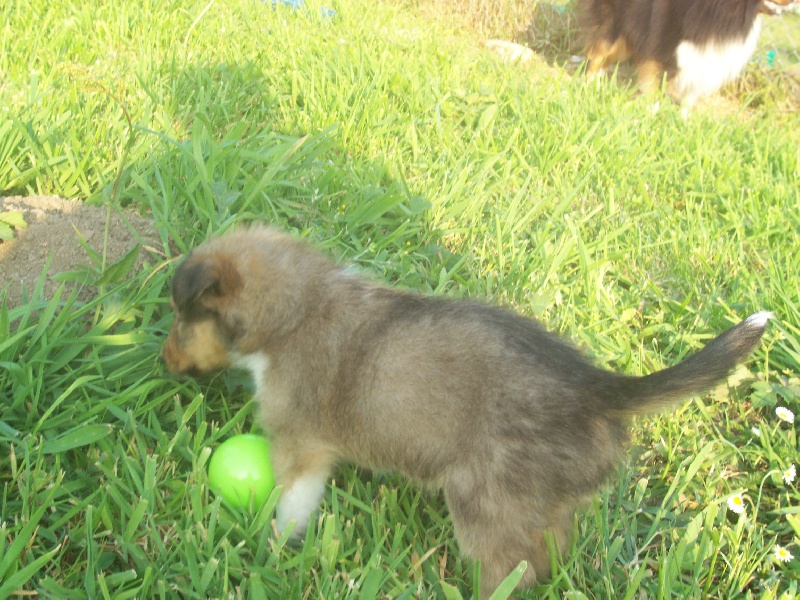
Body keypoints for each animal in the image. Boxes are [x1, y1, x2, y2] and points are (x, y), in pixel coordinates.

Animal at [162, 226, 770, 595]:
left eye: (181, 317)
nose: (163, 361)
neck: (295, 309)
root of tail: (598, 387)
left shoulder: (301, 445)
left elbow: (290, 504)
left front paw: (268, 546)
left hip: (485, 503)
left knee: (509, 572)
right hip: (539, 504)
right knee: (548, 556)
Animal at [578, 0, 797, 105]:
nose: (795, 1)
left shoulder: (702, 58)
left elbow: (689, 94)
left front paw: (683, 121)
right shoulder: (660, 48)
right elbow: (653, 86)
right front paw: (651, 111)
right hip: (613, 30)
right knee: (597, 56)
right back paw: (586, 87)